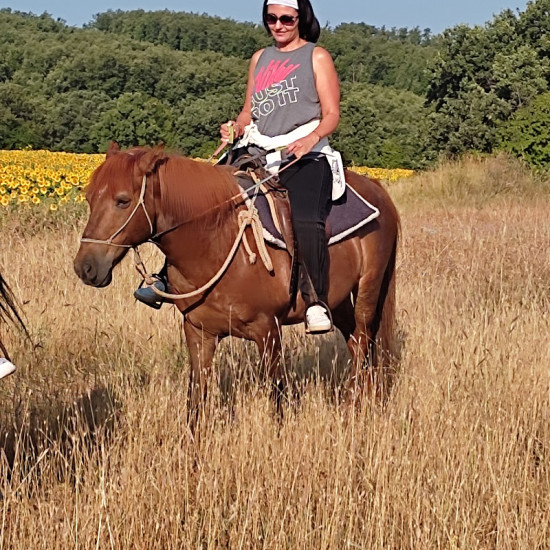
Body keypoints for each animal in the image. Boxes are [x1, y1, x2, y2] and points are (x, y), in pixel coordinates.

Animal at [74, 144, 402, 412]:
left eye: (123, 201)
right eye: (88, 198)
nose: (85, 267)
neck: (216, 239)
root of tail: (377, 189)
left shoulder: (268, 331)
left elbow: (276, 400)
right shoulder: (198, 332)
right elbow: (197, 401)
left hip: (369, 290)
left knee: (363, 340)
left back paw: (356, 404)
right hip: (338, 300)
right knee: (356, 343)